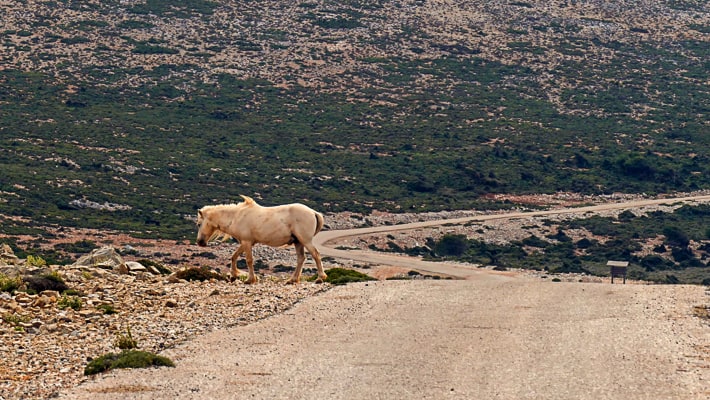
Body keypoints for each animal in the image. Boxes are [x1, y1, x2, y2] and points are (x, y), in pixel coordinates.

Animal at [195, 195, 328, 284]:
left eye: (199, 224)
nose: (200, 242)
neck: (236, 216)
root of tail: (313, 212)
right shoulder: (245, 243)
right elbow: (234, 256)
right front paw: (233, 275)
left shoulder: (247, 242)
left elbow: (249, 260)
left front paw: (250, 279)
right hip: (298, 242)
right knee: (301, 258)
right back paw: (292, 279)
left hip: (305, 241)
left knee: (315, 255)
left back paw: (320, 277)